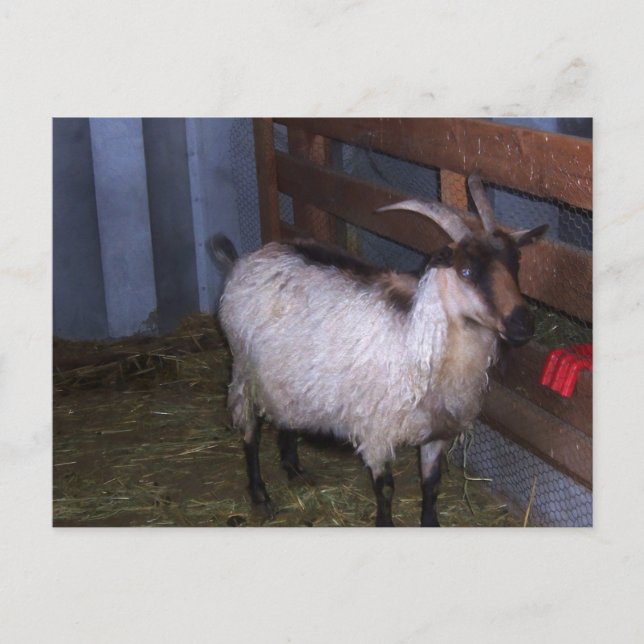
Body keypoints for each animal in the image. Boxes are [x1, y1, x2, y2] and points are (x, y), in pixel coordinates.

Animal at [211, 173, 547, 526]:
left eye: (516, 262)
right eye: (466, 271)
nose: (523, 324)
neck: (418, 339)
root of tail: (246, 260)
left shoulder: (435, 432)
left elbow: (432, 483)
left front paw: (431, 522)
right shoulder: (377, 430)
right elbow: (385, 488)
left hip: (286, 375)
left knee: (285, 416)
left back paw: (294, 468)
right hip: (245, 370)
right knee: (250, 431)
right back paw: (261, 495)